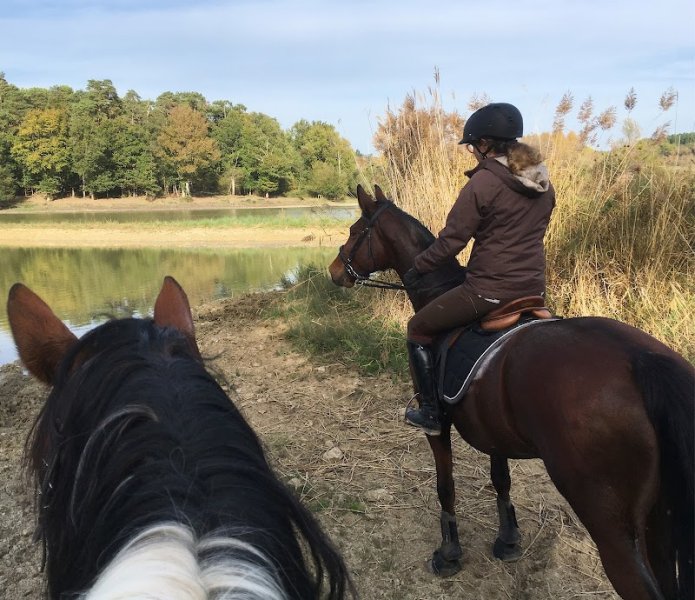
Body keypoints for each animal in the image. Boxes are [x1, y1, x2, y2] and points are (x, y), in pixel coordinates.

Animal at [328, 185, 694, 600]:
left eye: (356, 230)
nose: (335, 270)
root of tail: (642, 361)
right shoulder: (493, 431)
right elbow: (501, 480)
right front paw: (508, 539)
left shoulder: (437, 428)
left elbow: (446, 487)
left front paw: (449, 553)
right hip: (657, 524)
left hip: (613, 530)